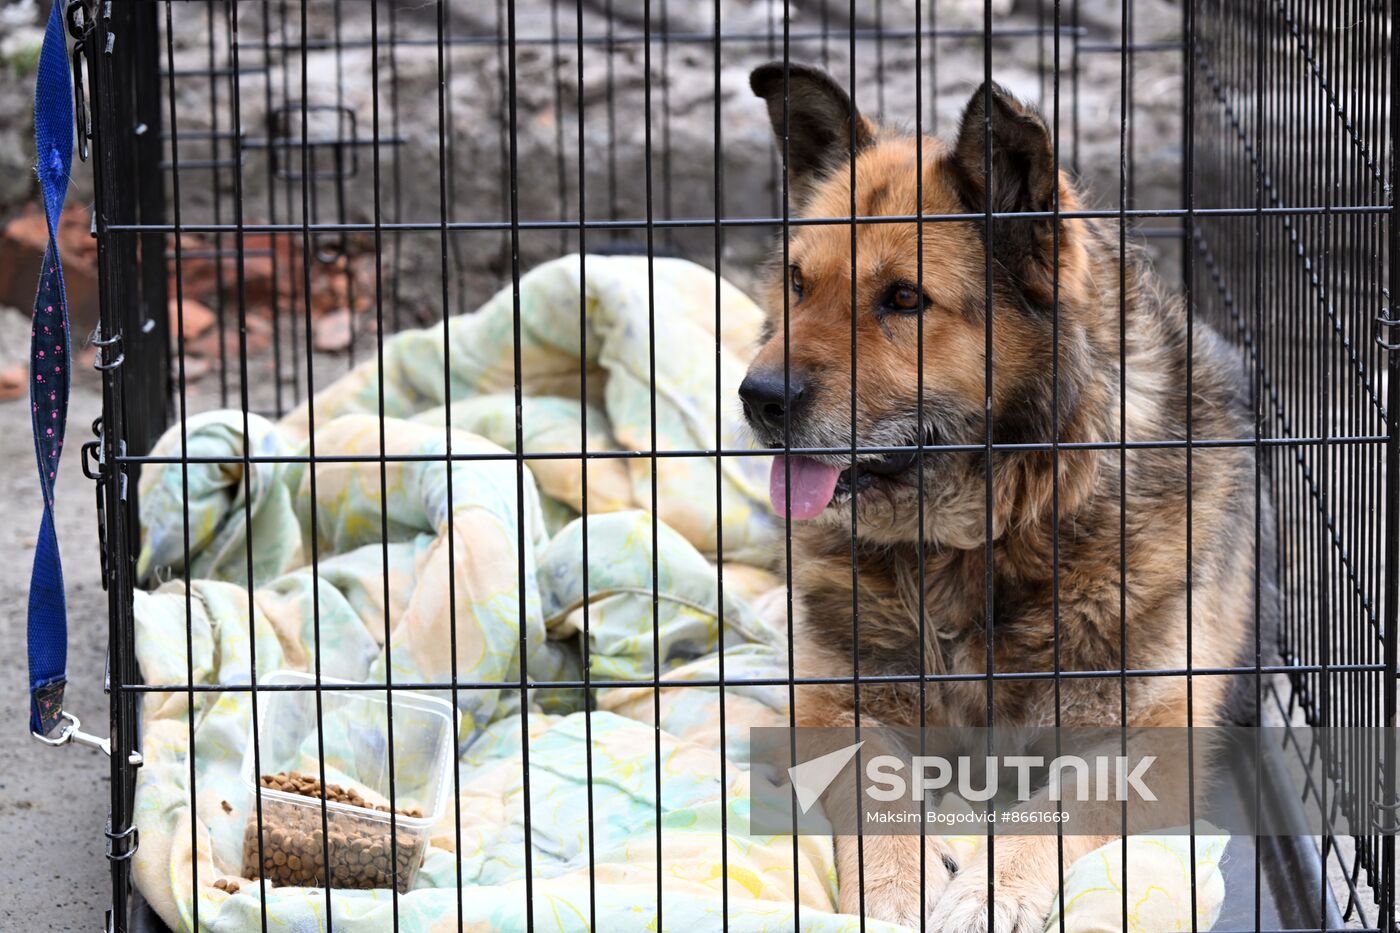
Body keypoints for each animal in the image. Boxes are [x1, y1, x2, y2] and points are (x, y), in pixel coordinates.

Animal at [744, 61, 1260, 924]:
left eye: (905, 298)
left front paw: (986, 890)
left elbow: (1054, 808)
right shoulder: (837, 706)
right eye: (795, 283)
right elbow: (877, 788)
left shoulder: (1150, 733)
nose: (758, 398)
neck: (987, 539)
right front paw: (897, 889)